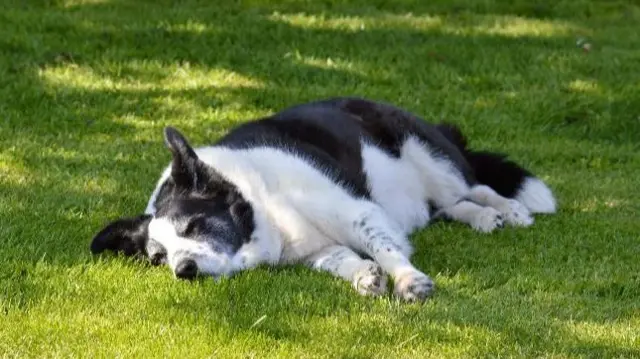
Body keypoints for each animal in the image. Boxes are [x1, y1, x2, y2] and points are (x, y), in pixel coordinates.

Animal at [89, 97, 556, 302]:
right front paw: (364, 276)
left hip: (430, 156)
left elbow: (385, 249)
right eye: (158, 258)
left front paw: (409, 281)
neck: (265, 210)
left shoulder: (357, 213)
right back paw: (483, 219)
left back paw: (508, 210)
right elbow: (343, 260)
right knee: (449, 206)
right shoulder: (317, 249)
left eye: (193, 226)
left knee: (472, 187)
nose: (182, 271)